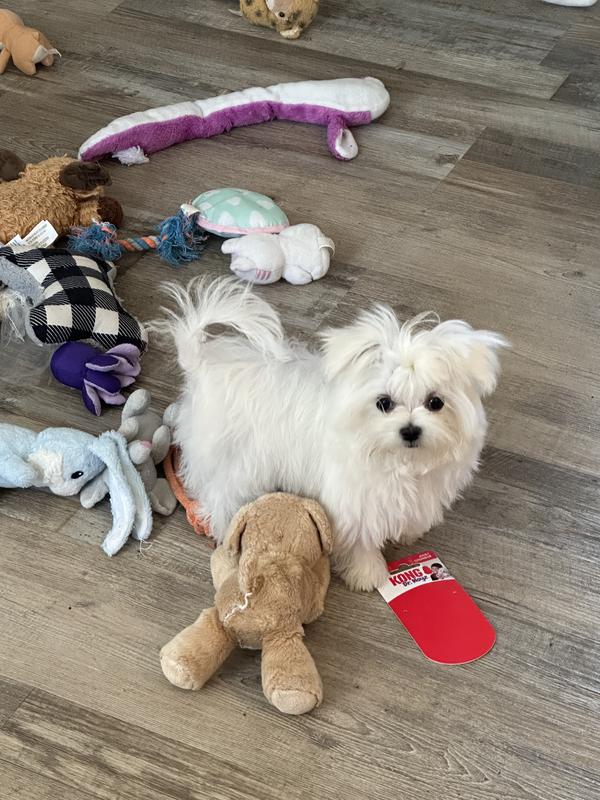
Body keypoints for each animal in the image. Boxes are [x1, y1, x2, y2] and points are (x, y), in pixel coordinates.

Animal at [159, 278, 506, 592]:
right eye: (384, 403)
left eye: (435, 402)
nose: (409, 431)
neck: (398, 460)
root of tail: (201, 362)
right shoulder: (356, 500)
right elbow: (361, 540)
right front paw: (368, 574)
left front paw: (410, 532)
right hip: (239, 460)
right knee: (220, 493)